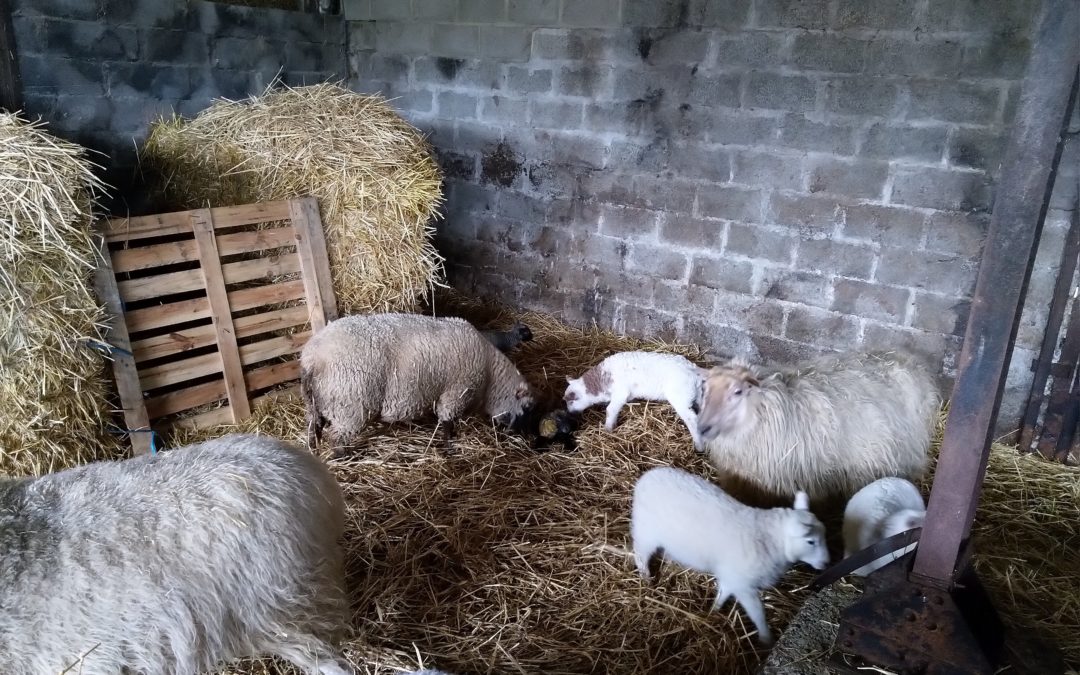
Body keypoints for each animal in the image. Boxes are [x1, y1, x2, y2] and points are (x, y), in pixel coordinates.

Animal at [300, 313, 535, 449]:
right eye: (527, 408)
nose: (529, 441)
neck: (490, 377)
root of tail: (312, 358)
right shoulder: (455, 393)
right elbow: (447, 421)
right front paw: (449, 444)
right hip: (350, 405)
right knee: (336, 439)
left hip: (316, 404)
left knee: (314, 428)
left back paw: (314, 448)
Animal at [565, 349, 708, 449]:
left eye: (571, 401)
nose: (570, 413)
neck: (601, 382)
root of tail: (694, 369)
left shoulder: (621, 392)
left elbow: (611, 409)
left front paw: (608, 429)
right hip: (698, 395)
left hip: (680, 397)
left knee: (692, 419)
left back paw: (699, 445)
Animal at [630, 462, 829, 643]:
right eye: (810, 541)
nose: (827, 562)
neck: (772, 541)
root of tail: (647, 477)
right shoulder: (743, 585)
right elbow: (757, 612)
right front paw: (766, 638)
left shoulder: (731, 577)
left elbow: (723, 593)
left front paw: (714, 611)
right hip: (646, 531)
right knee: (640, 554)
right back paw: (646, 578)